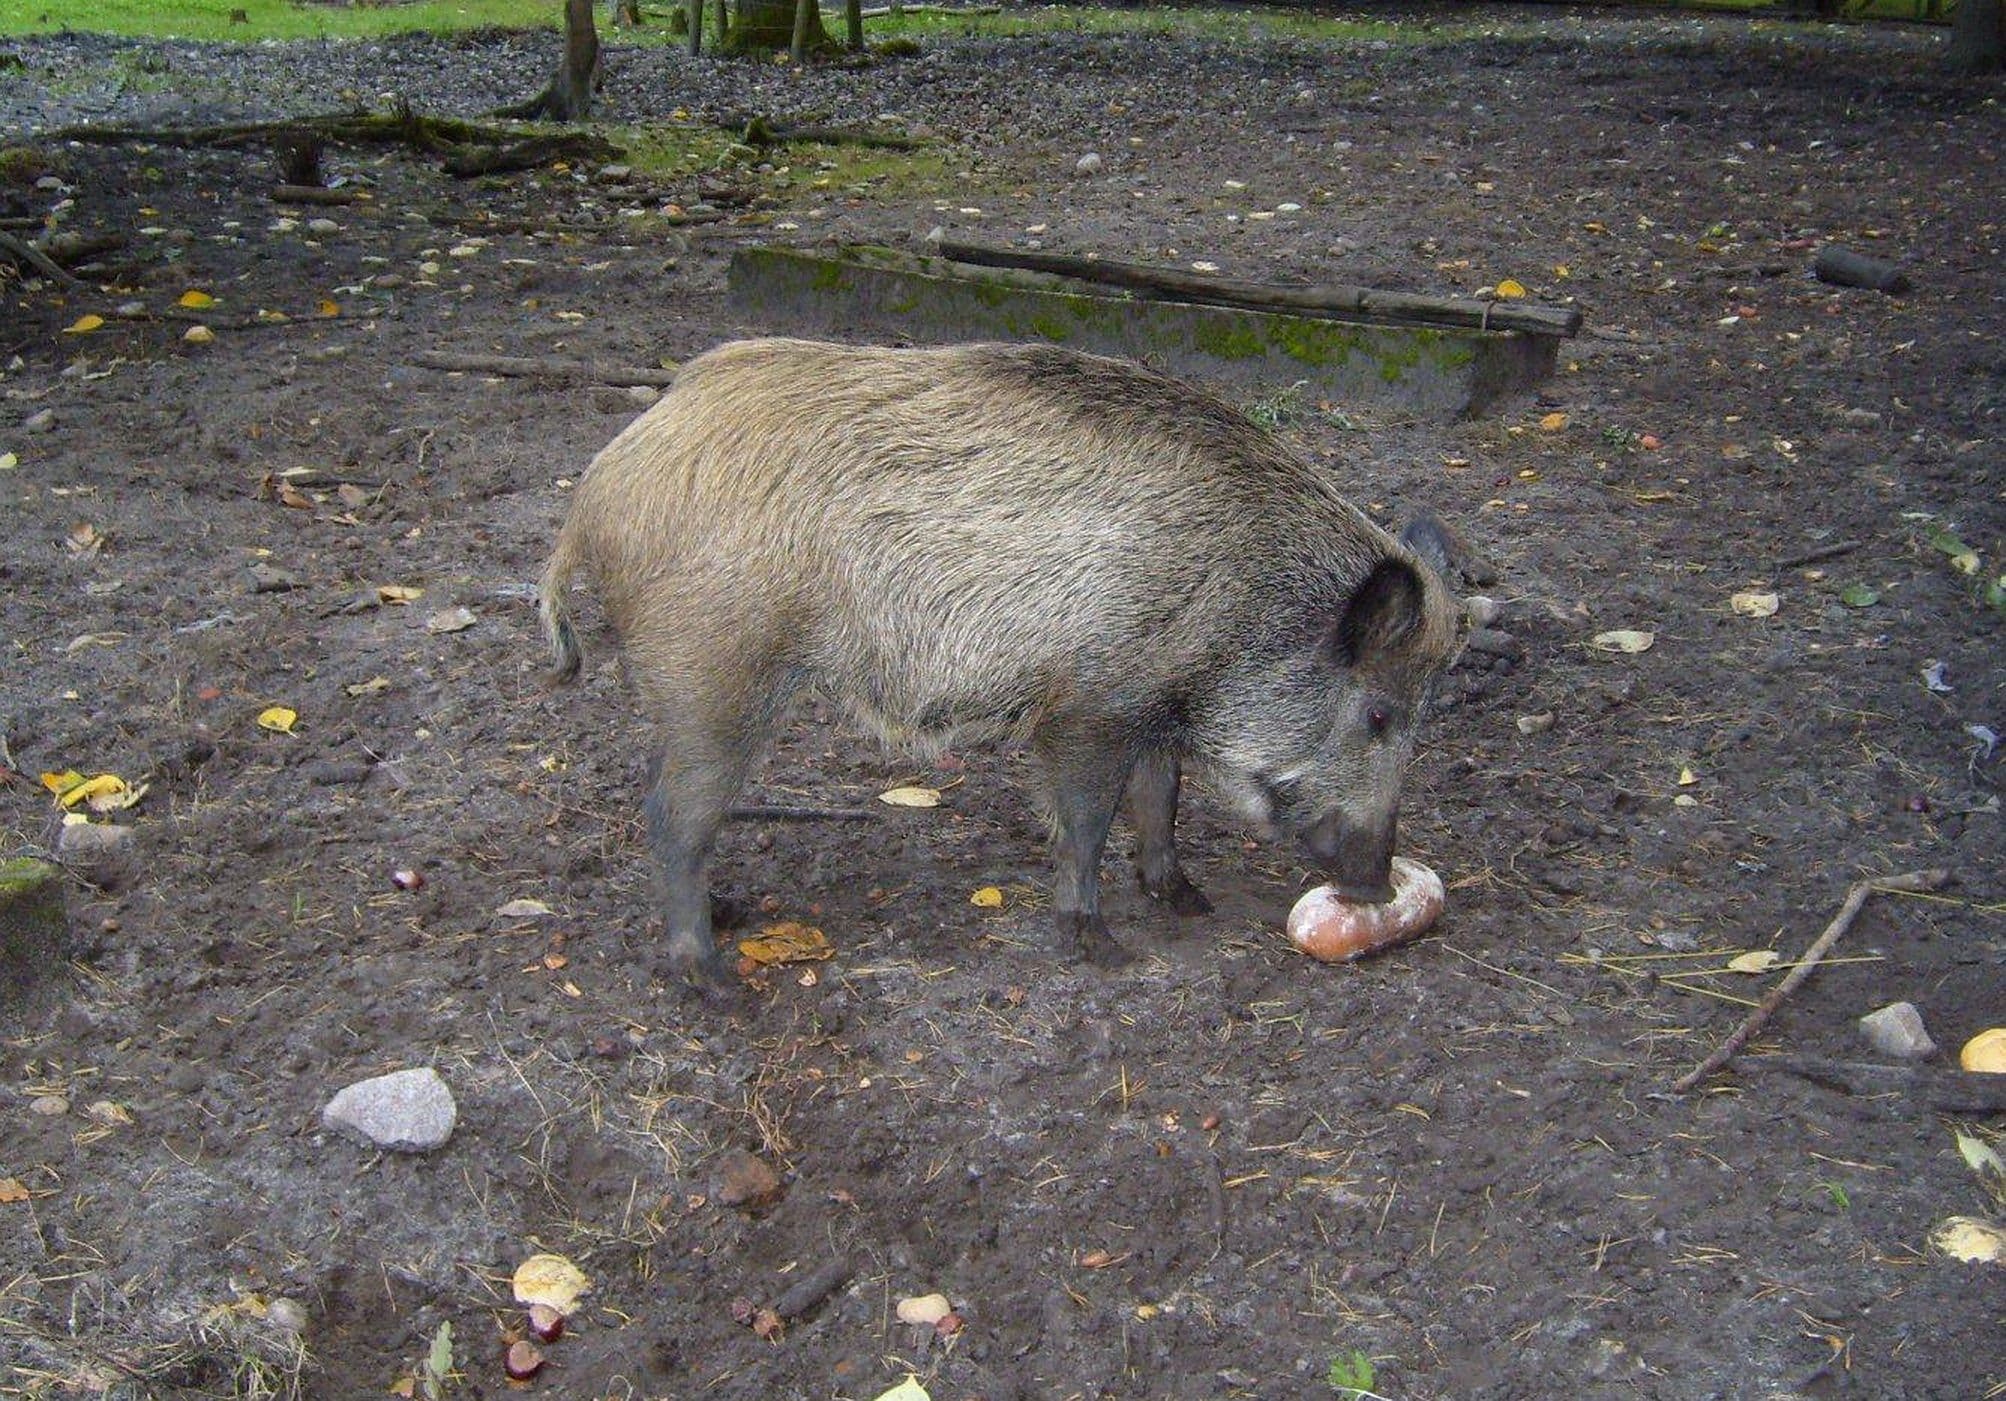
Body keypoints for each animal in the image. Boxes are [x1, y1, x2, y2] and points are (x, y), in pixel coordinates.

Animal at [538, 338, 1463, 995]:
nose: (1378, 885)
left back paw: (729, 913)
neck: (1243, 592)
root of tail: (593, 497)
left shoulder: (1155, 701)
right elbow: (1086, 823)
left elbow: (1159, 801)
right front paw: (1103, 949)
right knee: (673, 813)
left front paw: (1186, 900)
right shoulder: (1088, 706)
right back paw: (714, 981)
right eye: (1380, 714)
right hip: (719, 673)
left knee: (661, 798)